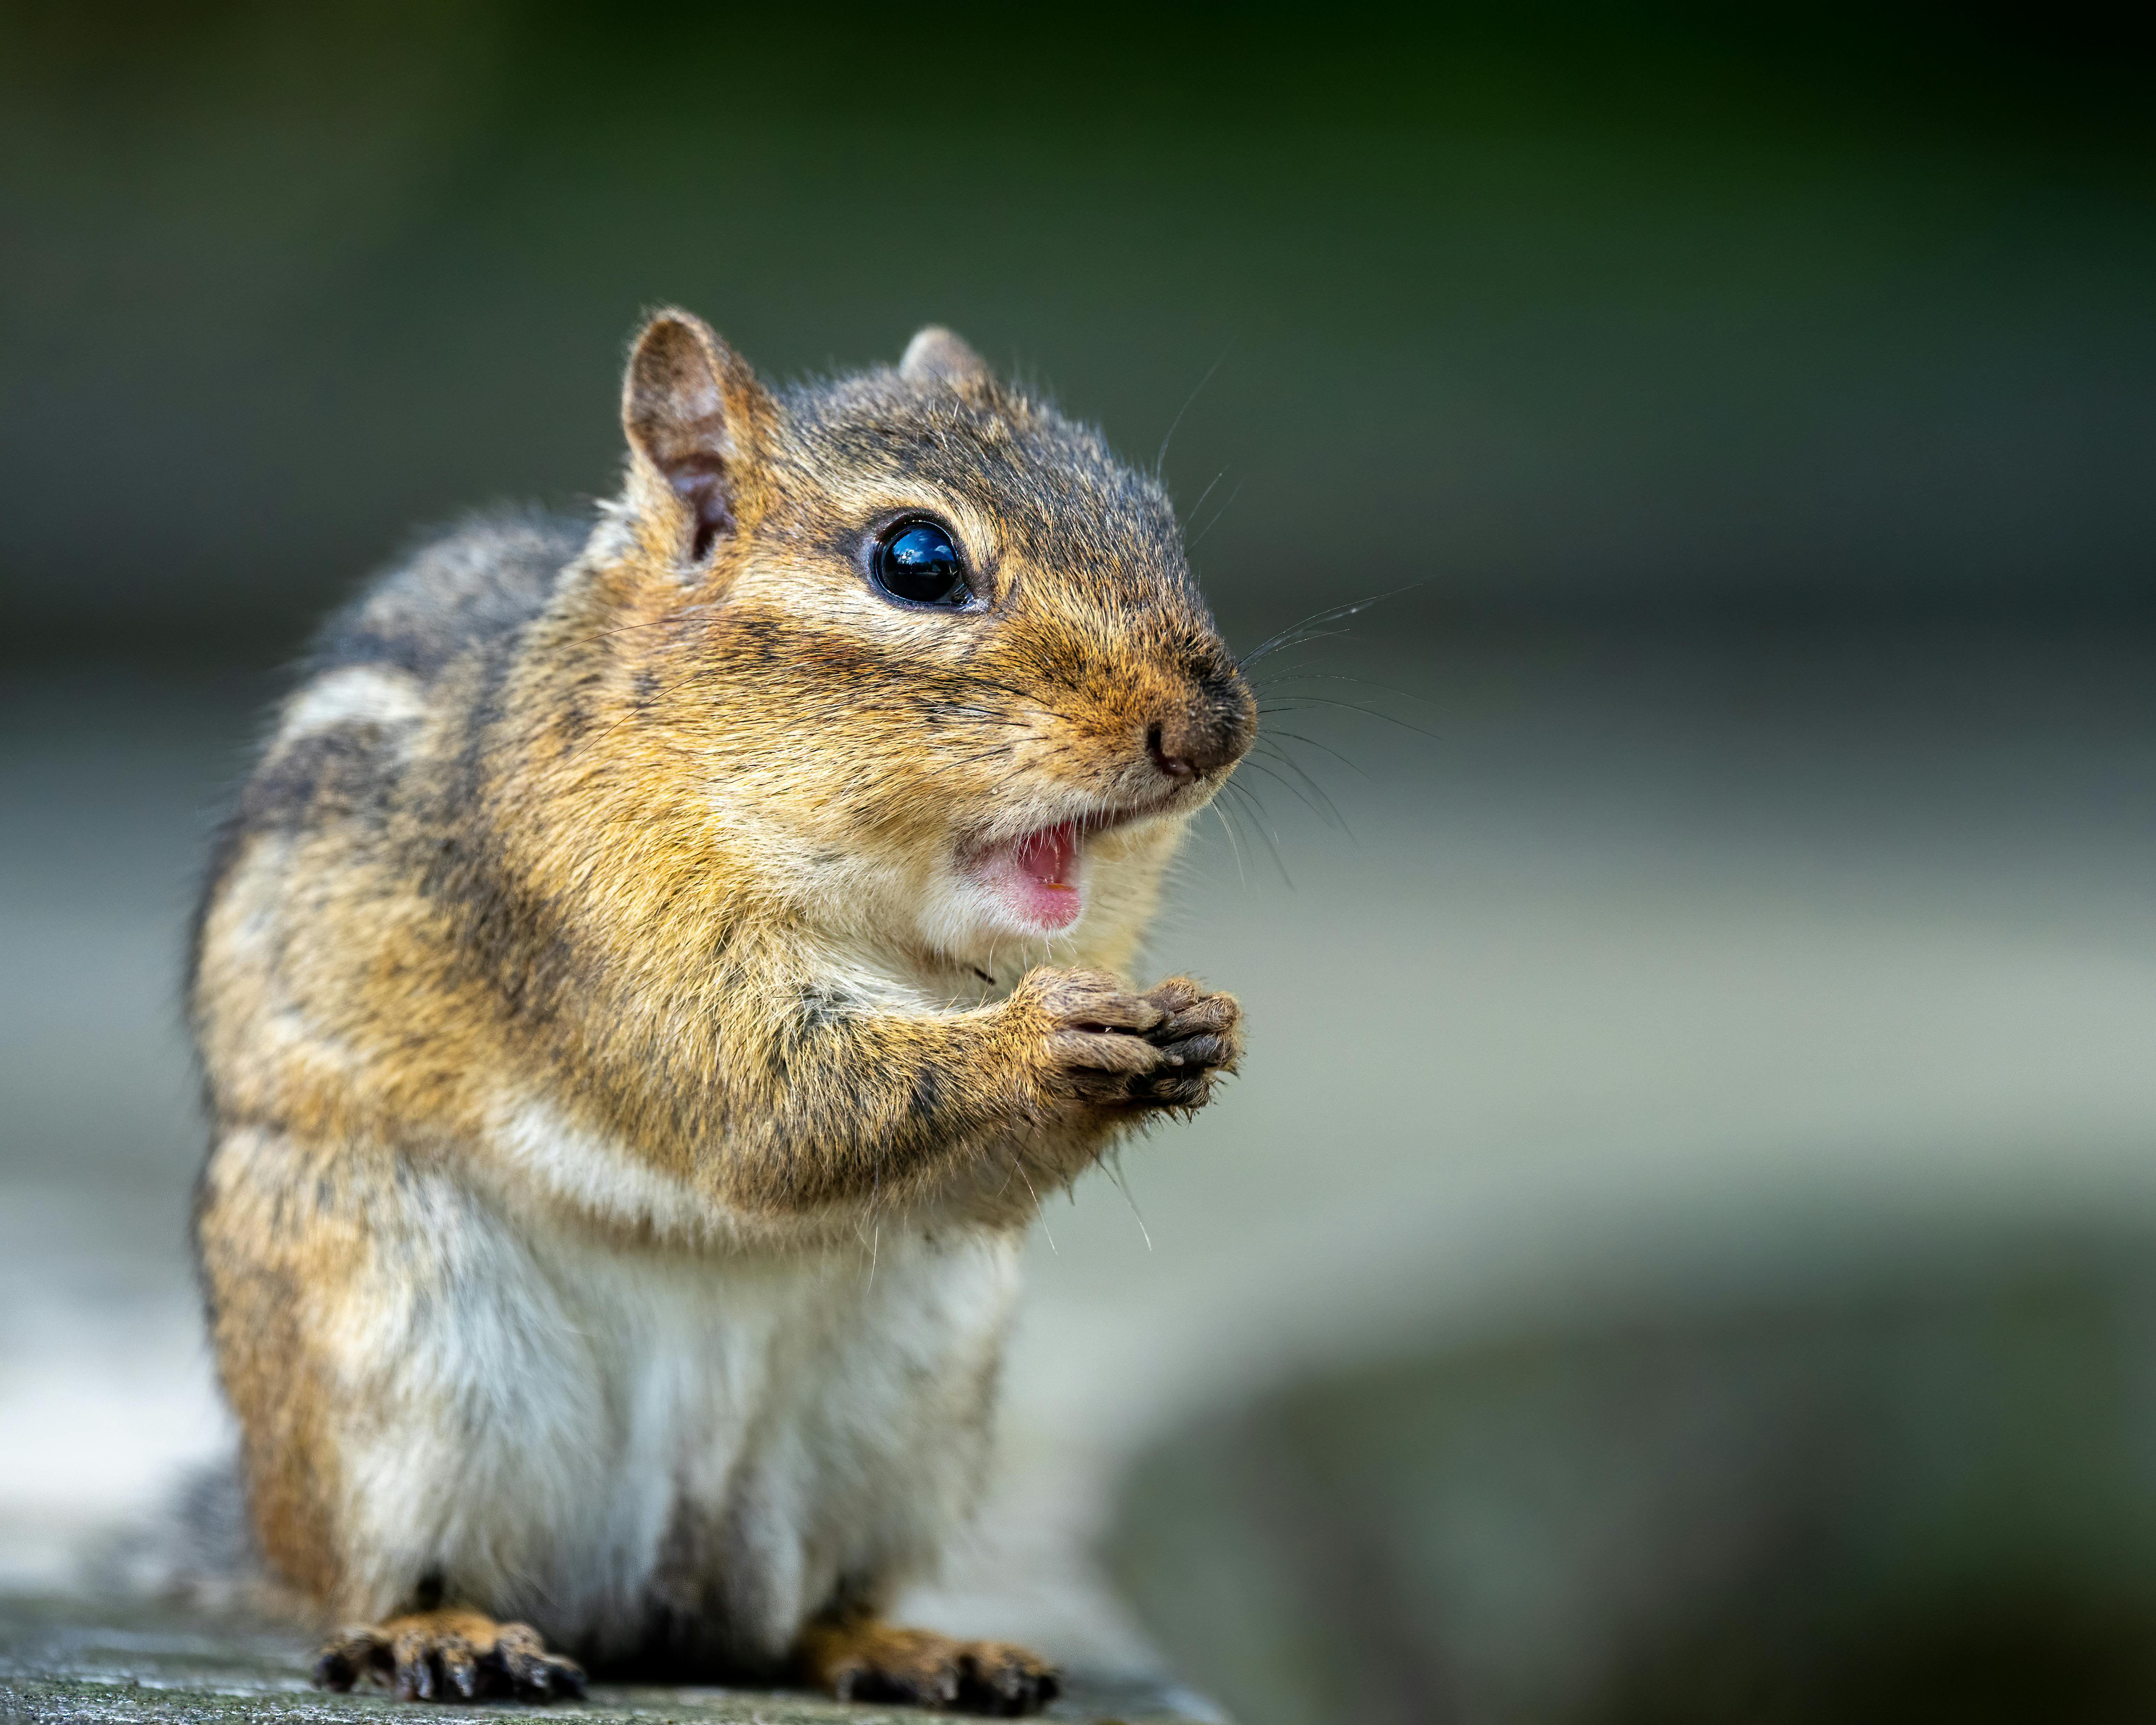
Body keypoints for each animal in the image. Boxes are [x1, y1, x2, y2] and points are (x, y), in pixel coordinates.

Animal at [187, 309, 1253, 1714]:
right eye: (916, 561)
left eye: (1149, 513)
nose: (1213, 729)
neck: (895, 928)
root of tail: (651, 1597)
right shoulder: (590, 925)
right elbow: (759, 1102)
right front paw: (1042, 1045)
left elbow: (964, 1174)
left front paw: (1194, 1027)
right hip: (392, 1348)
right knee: (376, 1575)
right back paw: (442, 1629)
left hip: (906, 1398)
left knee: (805, 1617)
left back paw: (911, 1646)